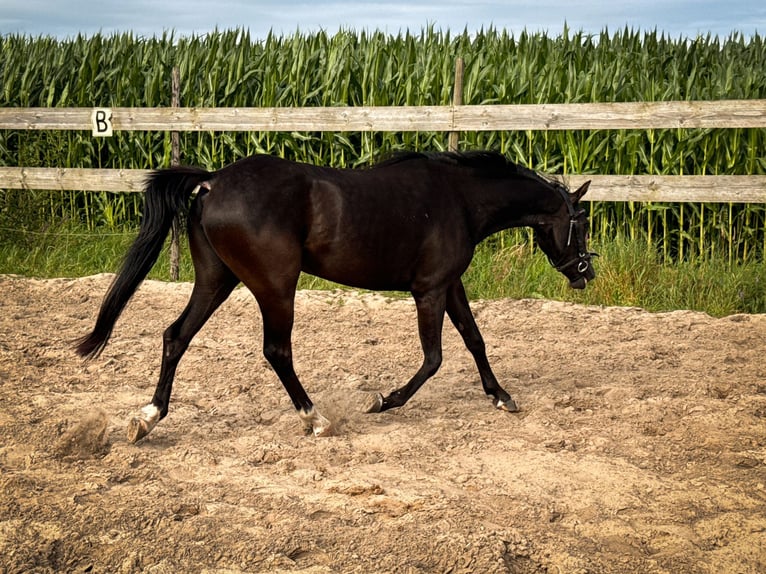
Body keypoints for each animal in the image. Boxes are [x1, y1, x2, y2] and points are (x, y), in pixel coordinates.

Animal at [75, 151, 596, 444]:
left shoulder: (450, 285)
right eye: (582, 221)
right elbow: (434, 358)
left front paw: (502, 397)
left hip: (215, 280)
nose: (585, 274)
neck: (460, 199)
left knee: (176, 336)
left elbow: (475, 339)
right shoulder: (428, 290)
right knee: (276, 350)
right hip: (275, 286)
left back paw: (147, 419)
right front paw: (382, 401)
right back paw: (317, 419)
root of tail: (213, 180)